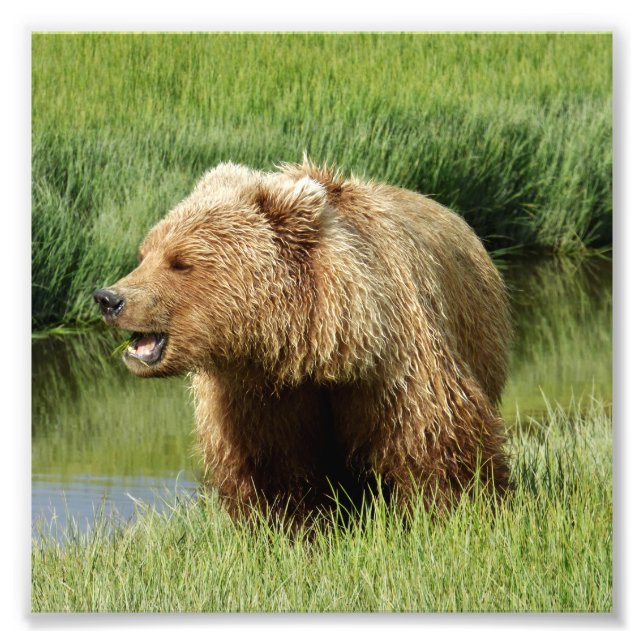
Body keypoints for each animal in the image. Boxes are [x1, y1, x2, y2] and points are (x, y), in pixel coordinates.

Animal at [94, 159, 511, 524]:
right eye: (145, 253)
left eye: (179, 262)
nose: (109, 298)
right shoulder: (260, 395)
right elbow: (273, 467)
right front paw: (292, 525)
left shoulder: (394, 367)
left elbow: (432, 436)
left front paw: (450, 509)